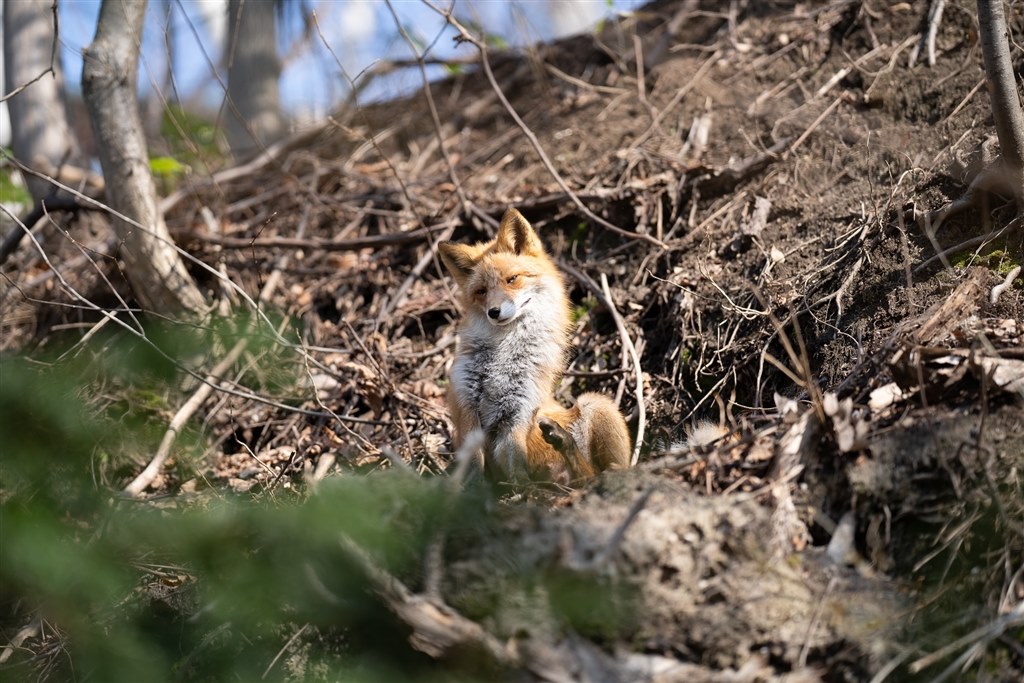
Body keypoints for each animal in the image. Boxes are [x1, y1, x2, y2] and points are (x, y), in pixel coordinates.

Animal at [438, 205, 630, 483]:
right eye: (481, 291)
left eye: (512, 279)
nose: (494, 312)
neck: (504, 353)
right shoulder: (466, 406)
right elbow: (473, 466)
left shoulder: (519, 411)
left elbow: (516, 468)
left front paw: (521, 490)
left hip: (596, 404)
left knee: (598, 473)